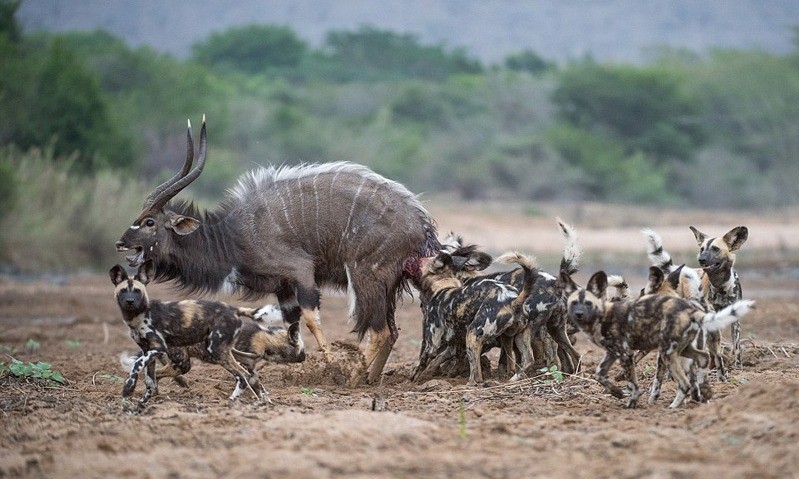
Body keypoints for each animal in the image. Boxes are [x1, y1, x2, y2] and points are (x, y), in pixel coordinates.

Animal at [113, 118, 440, 384]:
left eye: (149, 222)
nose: (120, 243)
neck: (233, 236)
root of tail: (421, 223)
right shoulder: (282, 287)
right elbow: (291, 323)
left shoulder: (301, 272)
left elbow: (310, 317)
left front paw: (333, 369)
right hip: (386, 284)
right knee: (392, 331)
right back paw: (370, 378)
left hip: (365, 276)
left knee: (380, 330)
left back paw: (354, 378)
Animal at [412, 251, 536, 386]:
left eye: (419, 262)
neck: (444, 286)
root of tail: (514, 300)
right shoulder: (454, 345)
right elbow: (440, 360)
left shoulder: (432, 345)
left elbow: (422, 362)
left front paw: (414, 378)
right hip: (513, 336)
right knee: (527, 360)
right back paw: (512, 379)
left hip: (472, 335)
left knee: (476, 376)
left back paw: (469, 385)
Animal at [564, 270, 756, 408]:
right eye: (573, 303)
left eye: (588, 303)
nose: (578, 315)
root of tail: (694, 311)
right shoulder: (613, 353)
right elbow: (599, 374)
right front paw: (617, 392)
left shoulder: (627, 354)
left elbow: (637, 385)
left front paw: (633, 402)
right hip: (682, 350)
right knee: (703, 361)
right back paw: (700, 395)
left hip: (668, 352)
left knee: (686, 381)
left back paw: (674, 406)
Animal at [644, 225, 752, 378]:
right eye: (702, 249)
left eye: (716, 249)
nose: (701, 259)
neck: (721, 287)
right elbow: (713, 350)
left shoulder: (734, 320)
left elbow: (736, 346)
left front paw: (737, 368)